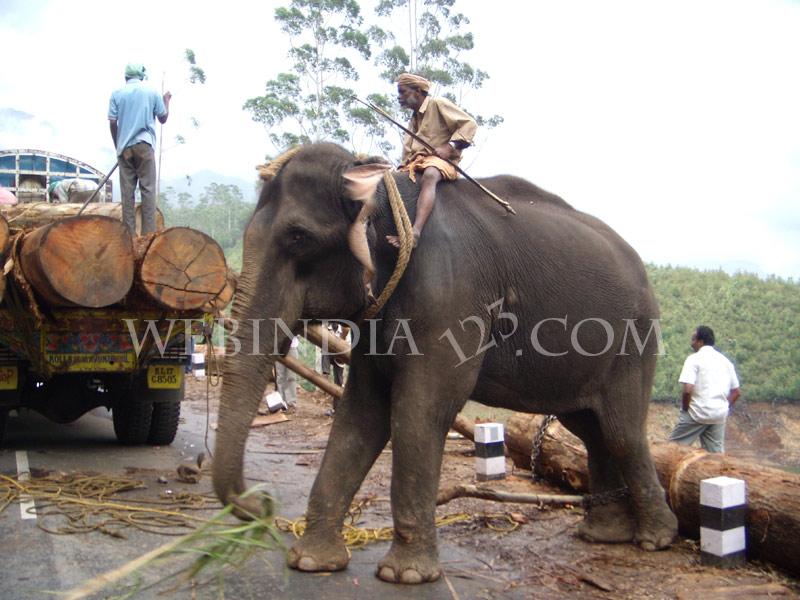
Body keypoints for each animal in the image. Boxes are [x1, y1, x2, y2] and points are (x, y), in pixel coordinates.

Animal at [211, 143, 676, 584]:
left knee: (621, 431)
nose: (262, 502)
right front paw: (312, 562)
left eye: (298, 237)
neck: (388, 191)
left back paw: (656, 539)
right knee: (589, 427)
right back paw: (604, 534)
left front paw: (406, 575)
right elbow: (362, 412)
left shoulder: (452, 295)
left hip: (635, 341)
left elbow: (423, 406)